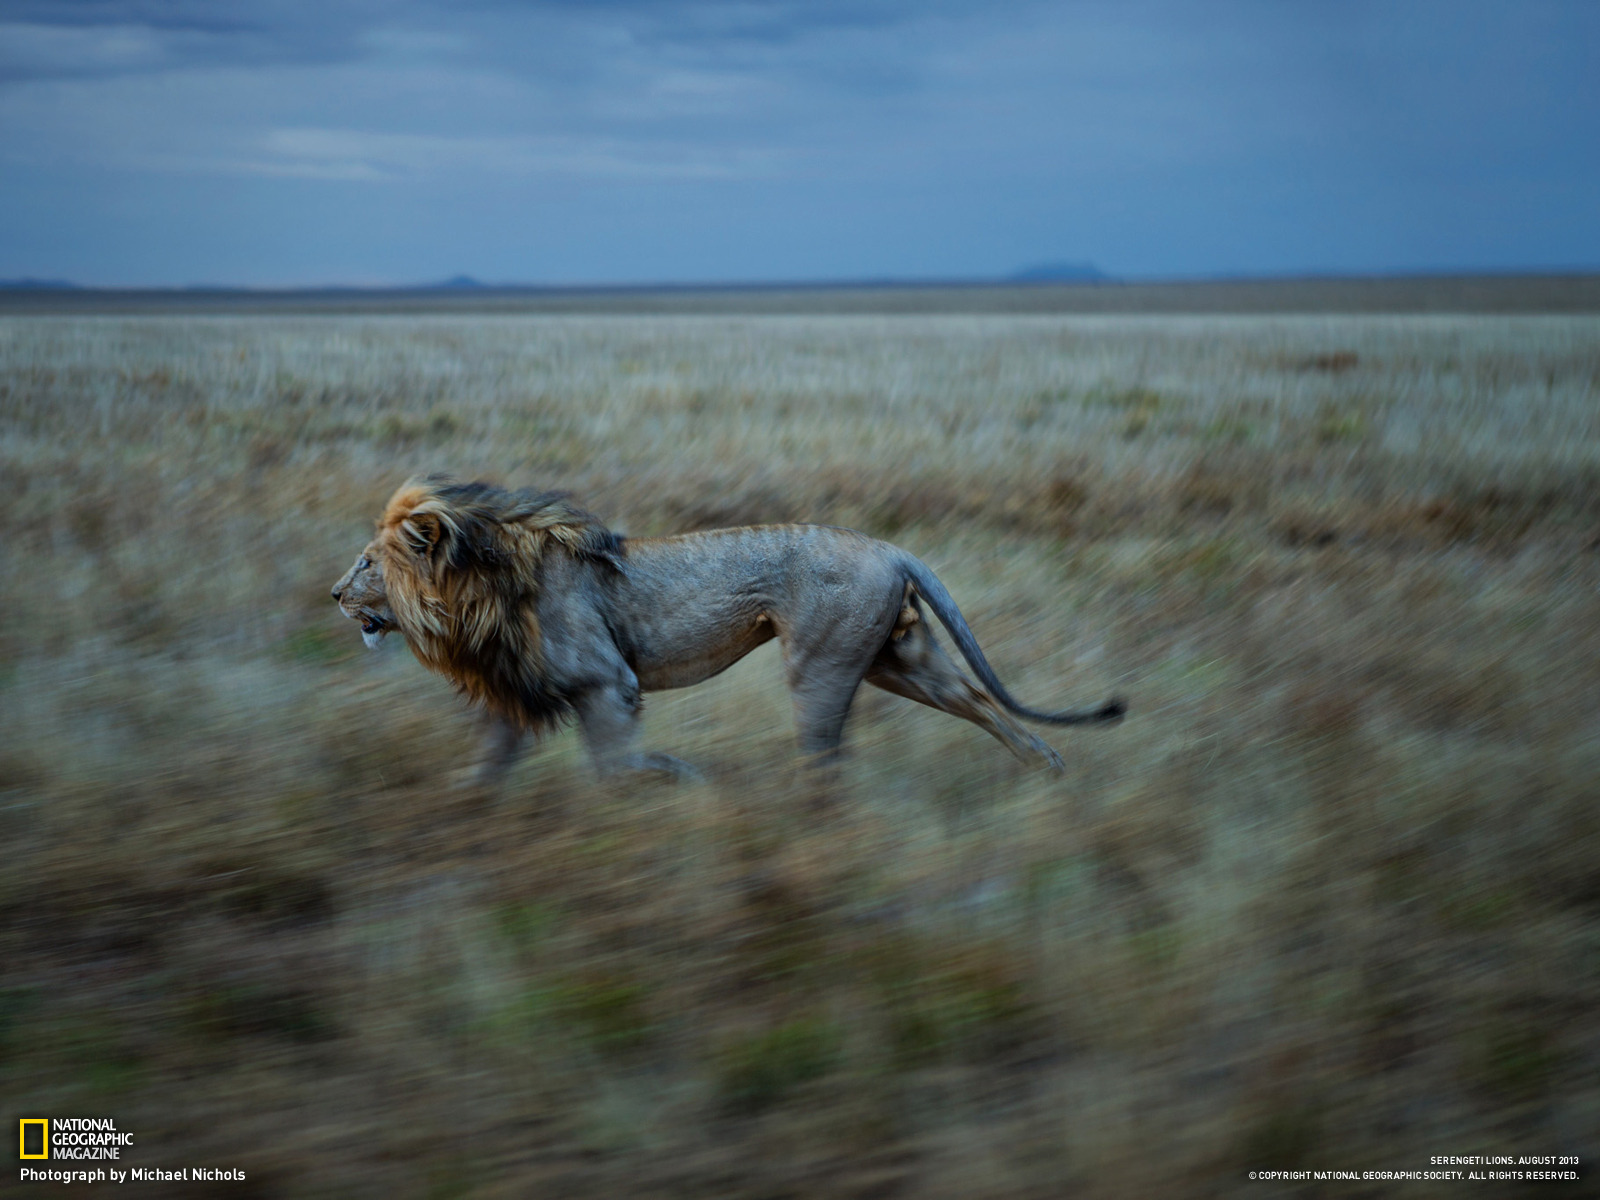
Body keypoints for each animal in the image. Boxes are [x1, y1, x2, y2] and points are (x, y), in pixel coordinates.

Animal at [331, 473, 1120, 784]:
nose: (335, 593)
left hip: (823, 666)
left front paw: (682, 782)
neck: (474, 590)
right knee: (979, 701)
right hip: (896, 659)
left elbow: (618, 768)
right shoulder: (514, 694)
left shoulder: (606, 683)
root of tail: (891, 547)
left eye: (367, 562)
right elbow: (485, 773)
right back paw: (1048, 772)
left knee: (826, 758)